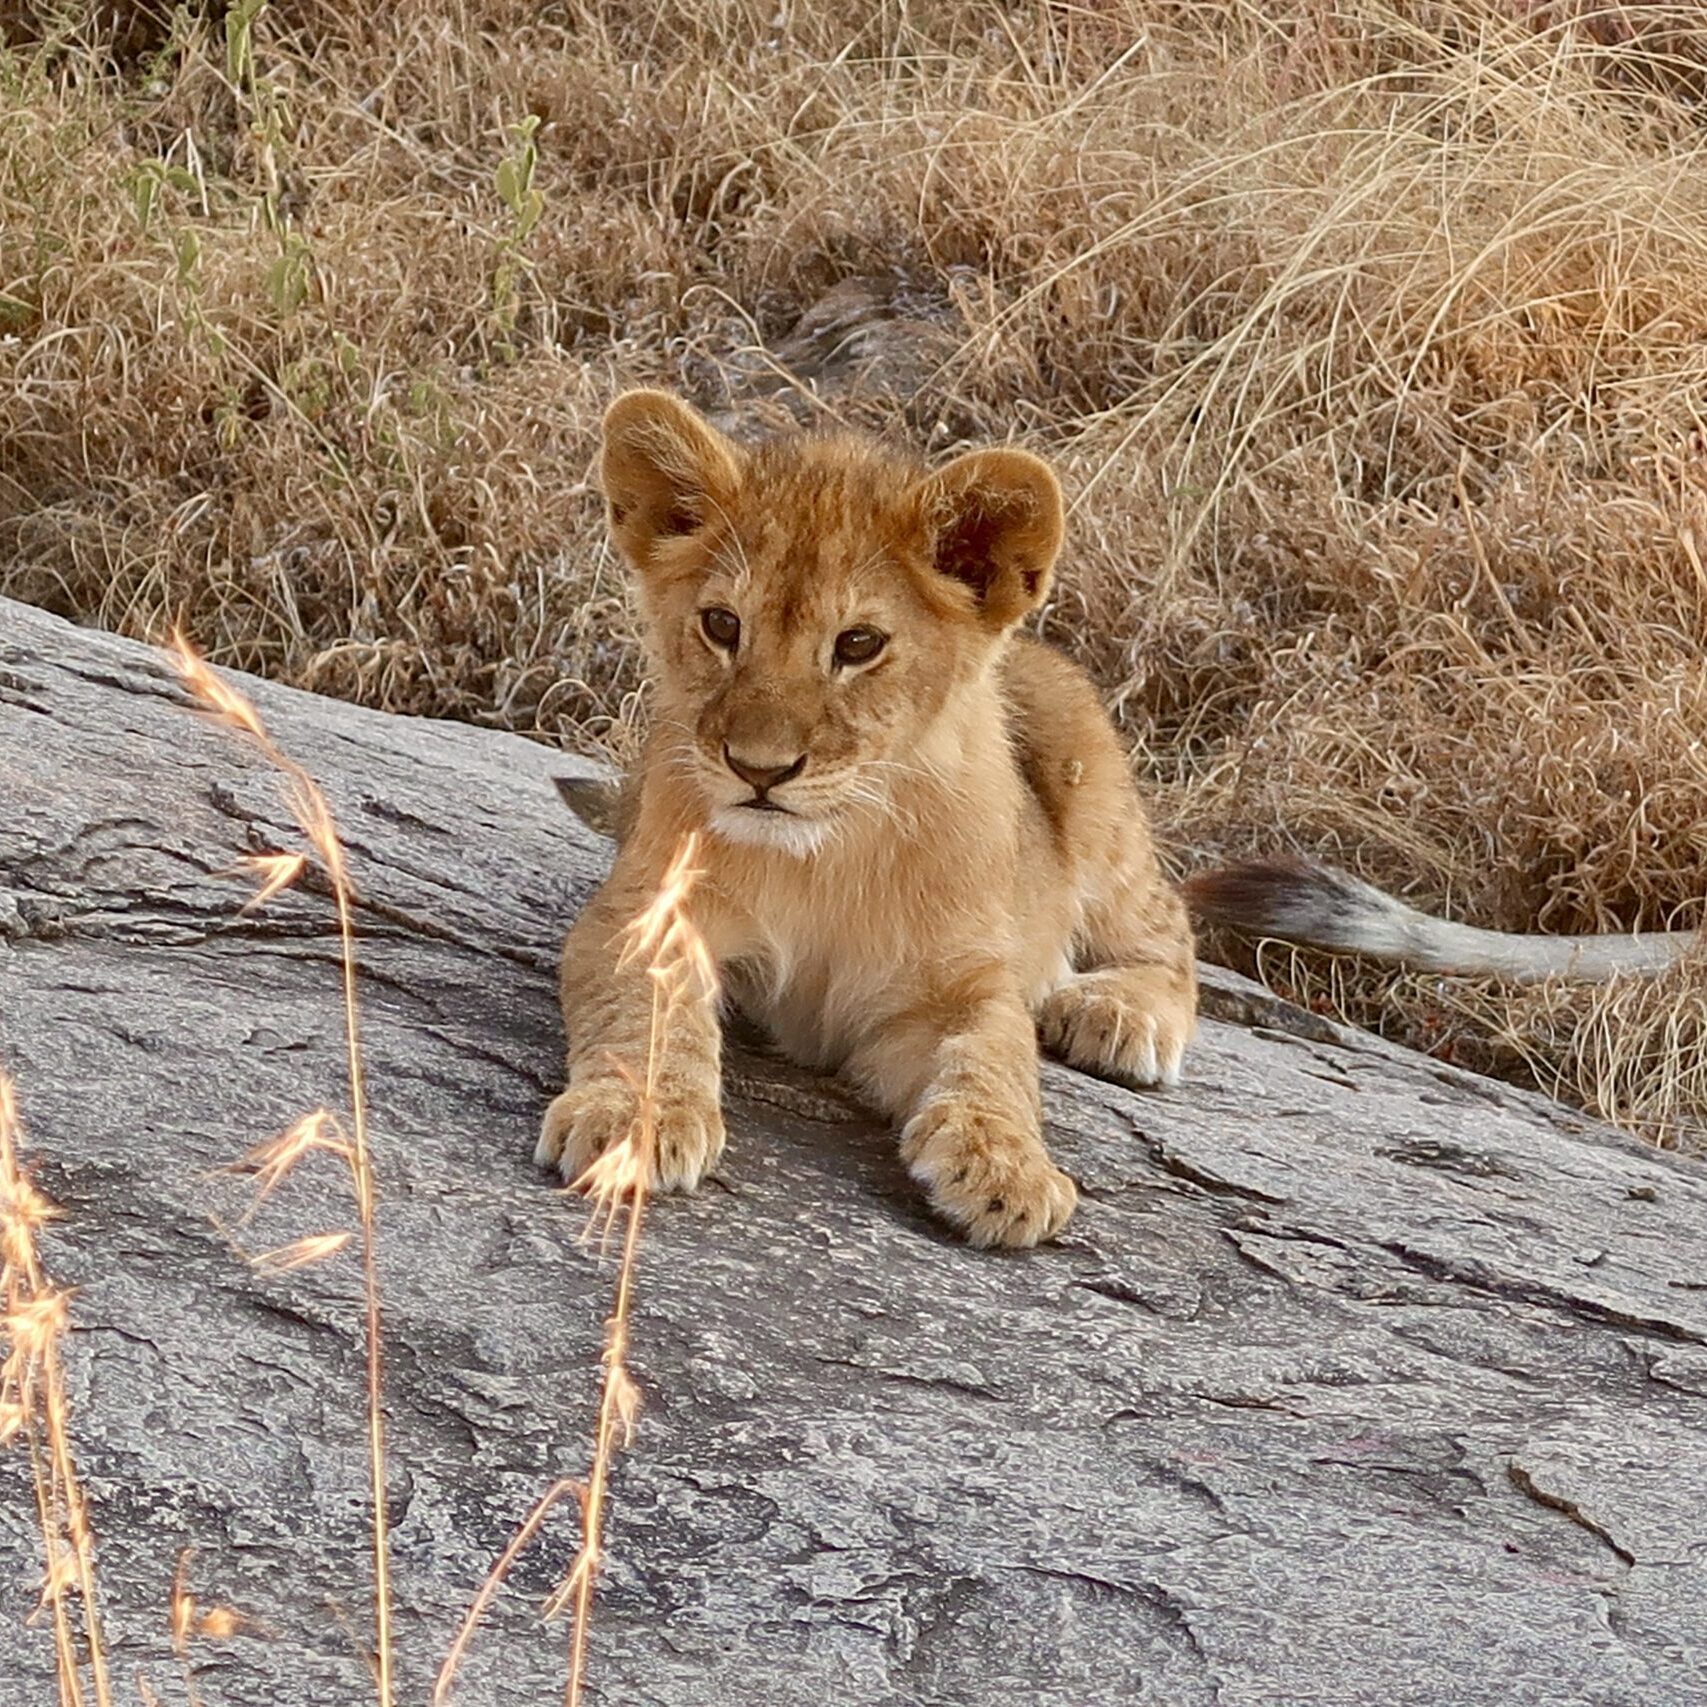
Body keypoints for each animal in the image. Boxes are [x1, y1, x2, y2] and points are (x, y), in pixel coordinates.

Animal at [537, 389, 1198, 1248]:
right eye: (722, 625)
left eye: (857, 643)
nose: (759, 769)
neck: (826, 851)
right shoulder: (644, 910)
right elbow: (642, 1014)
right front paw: (627, 1119)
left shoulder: (957, 981)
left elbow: (994, 1054)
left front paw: (1007, 1168)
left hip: (1093, 784)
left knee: (1166, 925)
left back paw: (1113, 1013)